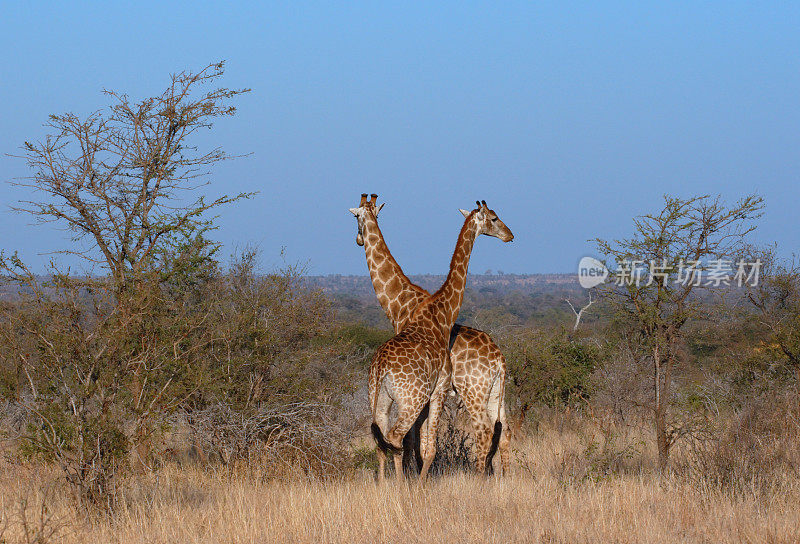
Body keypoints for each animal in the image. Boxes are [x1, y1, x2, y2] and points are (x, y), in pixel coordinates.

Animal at [350, 193, 512, 474]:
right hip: (495, 393)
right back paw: (502, 479)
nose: (509, 235)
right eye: (494, 218)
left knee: (484, 431)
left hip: (473, 391)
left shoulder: (430, 390)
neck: (398, 302)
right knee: (504, 433)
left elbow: (412, 441)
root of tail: (499, 358)